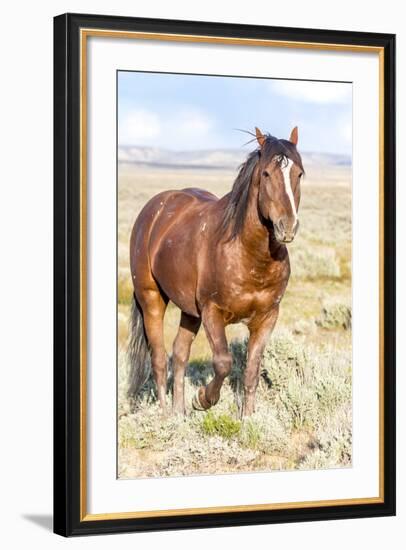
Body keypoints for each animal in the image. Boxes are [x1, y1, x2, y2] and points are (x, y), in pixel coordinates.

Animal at [128, 126, 302, 418]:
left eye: (299, 173)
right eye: (266, 173)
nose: (286, 226)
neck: (250, 256)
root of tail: (155, 209)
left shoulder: (267, 317)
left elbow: (252, 371)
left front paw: (248, 419)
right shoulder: (212, 312)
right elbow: (223, 362)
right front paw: (203, 399)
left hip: (189, 311)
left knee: (180, 353)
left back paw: (179, 413)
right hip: (151, 299)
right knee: (160, 358)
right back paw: (164, 415)